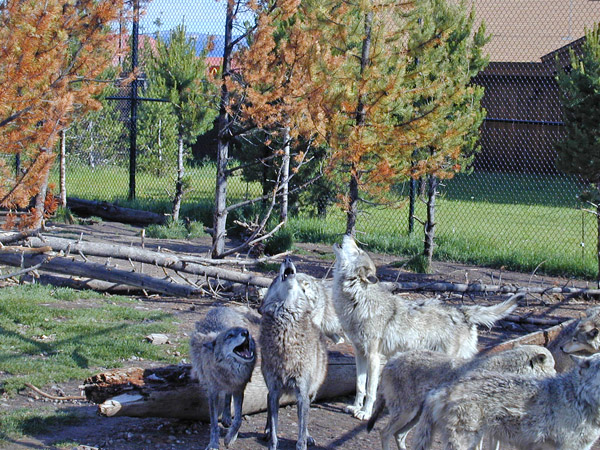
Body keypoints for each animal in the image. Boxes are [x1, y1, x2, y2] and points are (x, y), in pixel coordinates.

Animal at [189, 306, 256, 450]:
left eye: (243, 331)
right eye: (229, 336)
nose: (246, 332)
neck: (230, 371)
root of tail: (222, 307)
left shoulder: (239, 389)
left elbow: (238, 419)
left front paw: (230, 438)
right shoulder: (213, 393)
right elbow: (214, 423)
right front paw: (213, 443)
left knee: (227, 397)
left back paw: (226, 417)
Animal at [260, 256, 328, 450]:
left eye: (299, 284)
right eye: (275, 279)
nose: (287, 258)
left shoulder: (302, 392)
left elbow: (301, 433)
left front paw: (303, 442)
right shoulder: (275, 389)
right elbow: (275, 432)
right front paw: (272, 441)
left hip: (312, 392)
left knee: (305, 419)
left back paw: (309, 436)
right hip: (273, 391)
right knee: (268, 403)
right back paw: (266, 431)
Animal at [332, 234, 520, 420]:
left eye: (357, 250)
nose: (348, 234)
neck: (357, 300)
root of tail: (462, 311)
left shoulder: (374, 357)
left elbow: (370, 390)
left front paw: (365, 413)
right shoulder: (360, 353)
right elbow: (360, 386)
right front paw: (355, 407)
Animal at [368, 344, 556, 450]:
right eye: (553, 366)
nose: (556, 374)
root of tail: (393, 359)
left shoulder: (493, 431)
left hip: (415, 418)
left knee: (399, 436)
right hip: (406, 414)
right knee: (384, 433)